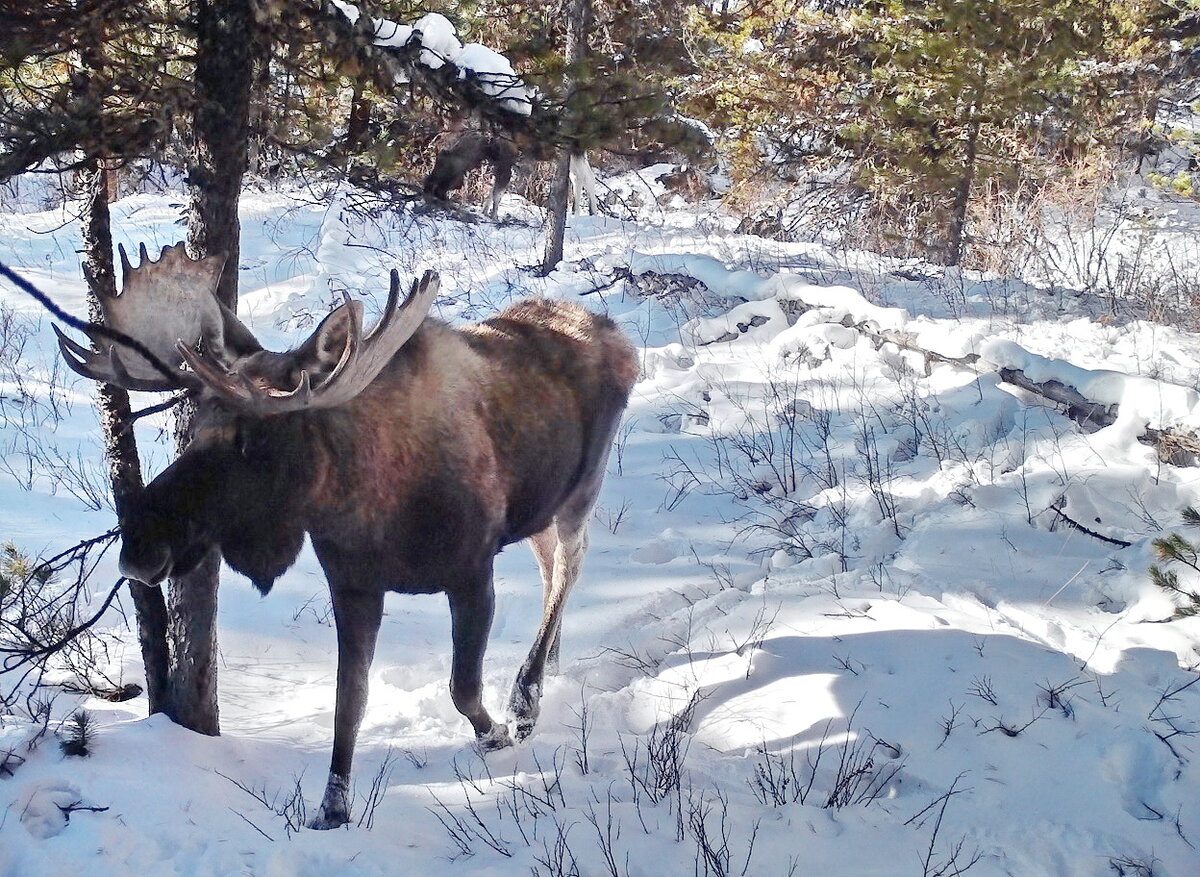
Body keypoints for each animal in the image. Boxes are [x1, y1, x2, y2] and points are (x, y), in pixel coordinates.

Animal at [58, 244, 638, 830]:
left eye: (253, 439)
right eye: (194, 426)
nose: (139, 544)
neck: (365, 507)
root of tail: (616, 333)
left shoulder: (472, 571)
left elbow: (462, 686)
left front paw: (497, 731)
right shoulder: (354, 585)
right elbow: (348, 701)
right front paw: (332, 808)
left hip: (582, 487)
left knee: (569, 566)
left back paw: (526, 697)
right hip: (539, 510)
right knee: (549, 569)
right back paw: (549, 666)